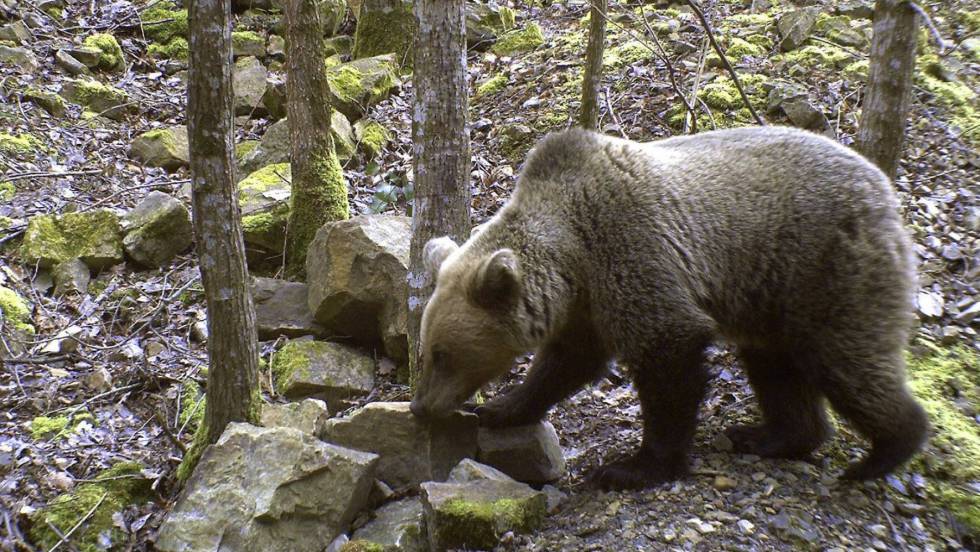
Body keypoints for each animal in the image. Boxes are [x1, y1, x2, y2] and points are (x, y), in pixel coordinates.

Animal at [410, 125, 932, 488]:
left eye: (441, 353)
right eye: (427, 349)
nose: (420, 407)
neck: (573, 256)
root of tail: (884, 189)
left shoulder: (633, 254)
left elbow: (668, 355)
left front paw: (631, 468)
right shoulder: (586, 306)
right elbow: (565, 364)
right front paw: (501, 408)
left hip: (824, 269)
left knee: (845, 359)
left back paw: (883, 452)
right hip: (768, 295)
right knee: (776, 367)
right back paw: (768, 435)